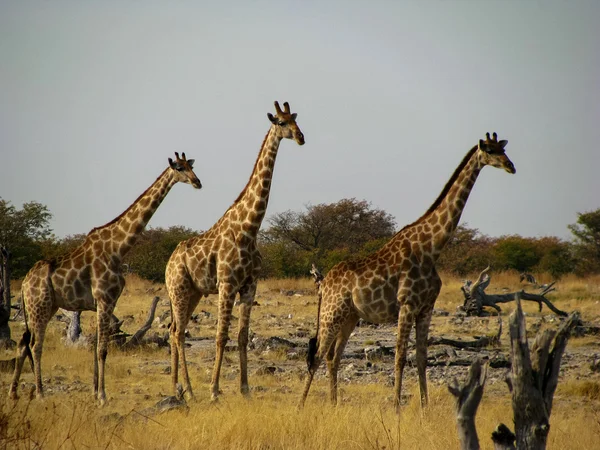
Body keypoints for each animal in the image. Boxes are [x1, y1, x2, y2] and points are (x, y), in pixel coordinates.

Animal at [9, 152, 202, 404]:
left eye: (191, 166)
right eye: (179, 168)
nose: (197, 182)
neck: (118, 248)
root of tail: (23, 284)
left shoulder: (105, 302)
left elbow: (95, 347)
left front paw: (94, 392)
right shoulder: (104, 299)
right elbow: (102, 348)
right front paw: (102, 396)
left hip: (45, 307)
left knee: (24, 342)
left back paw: (14, 392)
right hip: (39, 307)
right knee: (35, 344)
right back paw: (40, 393)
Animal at [165, 102, 302, 400]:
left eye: (296, 120)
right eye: (281, 122)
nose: (301, 137)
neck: (249, 228)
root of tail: (167, 264)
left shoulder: (250, 285)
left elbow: (241, 337)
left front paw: (245, 389)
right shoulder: (227, 284)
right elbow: (221, 336)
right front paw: (215, 391)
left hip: (193, 292)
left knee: (174, 330)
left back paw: (176, 387)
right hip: (179, 289)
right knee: (178, 332)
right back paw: (188, 391)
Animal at [300, 132, 516, 410]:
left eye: (503, 149)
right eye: (490, 150)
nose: (511, 166)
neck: (431, 248)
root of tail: (323, 284)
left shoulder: (426, 307)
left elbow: (422, 358)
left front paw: (425, 409)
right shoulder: (407, 304)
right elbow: (401, 357)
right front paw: (396, 408)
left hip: (350, 316)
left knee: (332, 356)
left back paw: (334, 404)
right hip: (331, 312)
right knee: (316, 355)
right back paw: (301, 406)